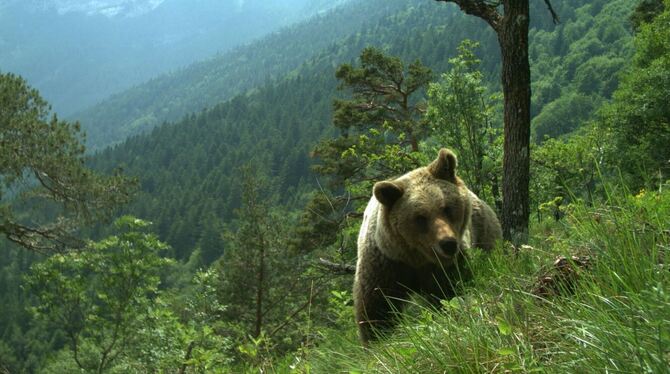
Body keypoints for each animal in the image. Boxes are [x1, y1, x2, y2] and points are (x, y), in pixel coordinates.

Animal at [354, 148, 502, 344]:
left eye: (446, 208)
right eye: (420, 217)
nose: (448, 243)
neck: (417, 258)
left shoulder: (448, 265)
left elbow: (452, 292)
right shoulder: (386, 263)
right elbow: (378, 306)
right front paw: (378, 339)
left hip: (484, 232)